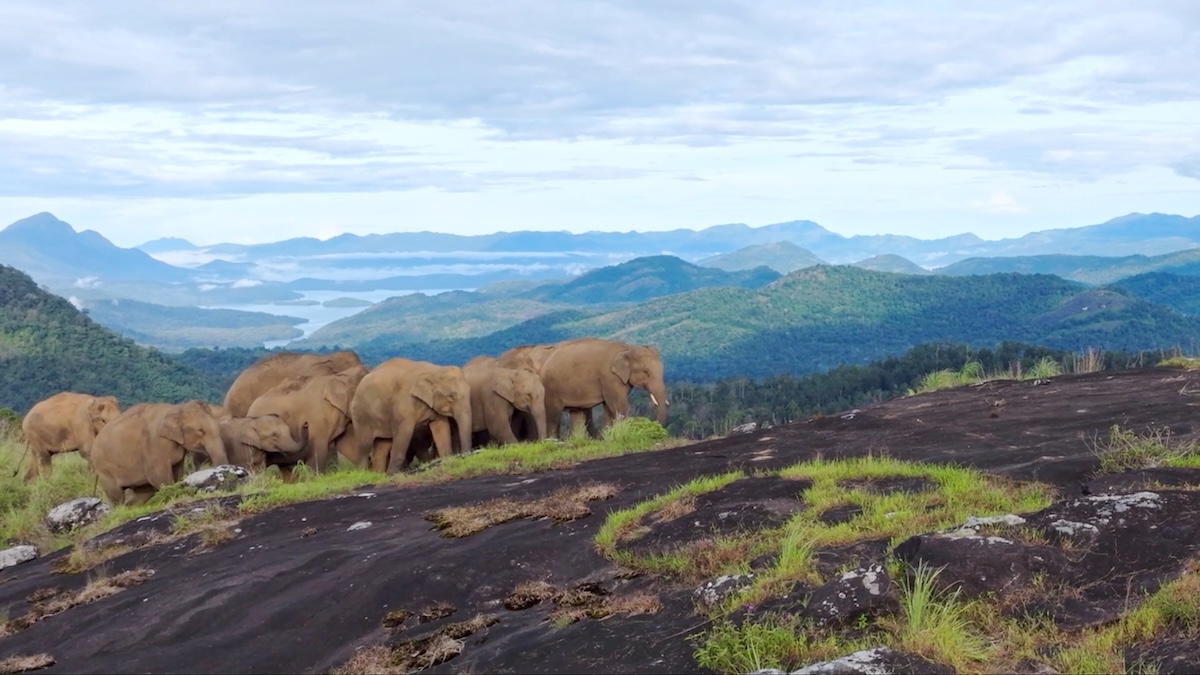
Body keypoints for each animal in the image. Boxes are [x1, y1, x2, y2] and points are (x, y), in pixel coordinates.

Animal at [89, 400, 229, 506]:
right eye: (200, 431)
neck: (176, 408)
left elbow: (177, 470)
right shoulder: (154, 444)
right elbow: (157, 475)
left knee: (142, 492)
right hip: (105, 471)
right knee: (116, 496)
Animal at [538, 338, 669, 438]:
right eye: (646, 372)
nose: (655, 425)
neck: (627, 348)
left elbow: (608, 407)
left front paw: (608, 435)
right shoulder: (609, 377)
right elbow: (617, 405)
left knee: (577, 413)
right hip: (551, 389)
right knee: (553, 416)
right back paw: (555, 441)